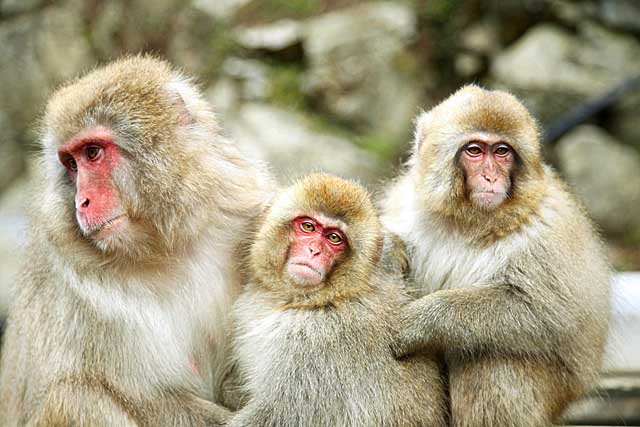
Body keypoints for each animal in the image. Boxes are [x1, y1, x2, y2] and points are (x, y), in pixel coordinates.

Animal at [0, 56, 272, 427]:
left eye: (92, 153)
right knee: (75, 398)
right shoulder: (87, 292)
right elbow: (151, 399)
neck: (165, 247)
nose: (81, 202)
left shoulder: (245, 211)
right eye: (71, 164)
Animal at [380, 85, 608, 427]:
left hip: (557, 391)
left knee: (492, 358)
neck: (470, 221)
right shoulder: (404, 204)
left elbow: (545, 313)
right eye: (475, 151)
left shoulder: (547, 230)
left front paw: (423, 320)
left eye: (502, 152)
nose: (490, 177)